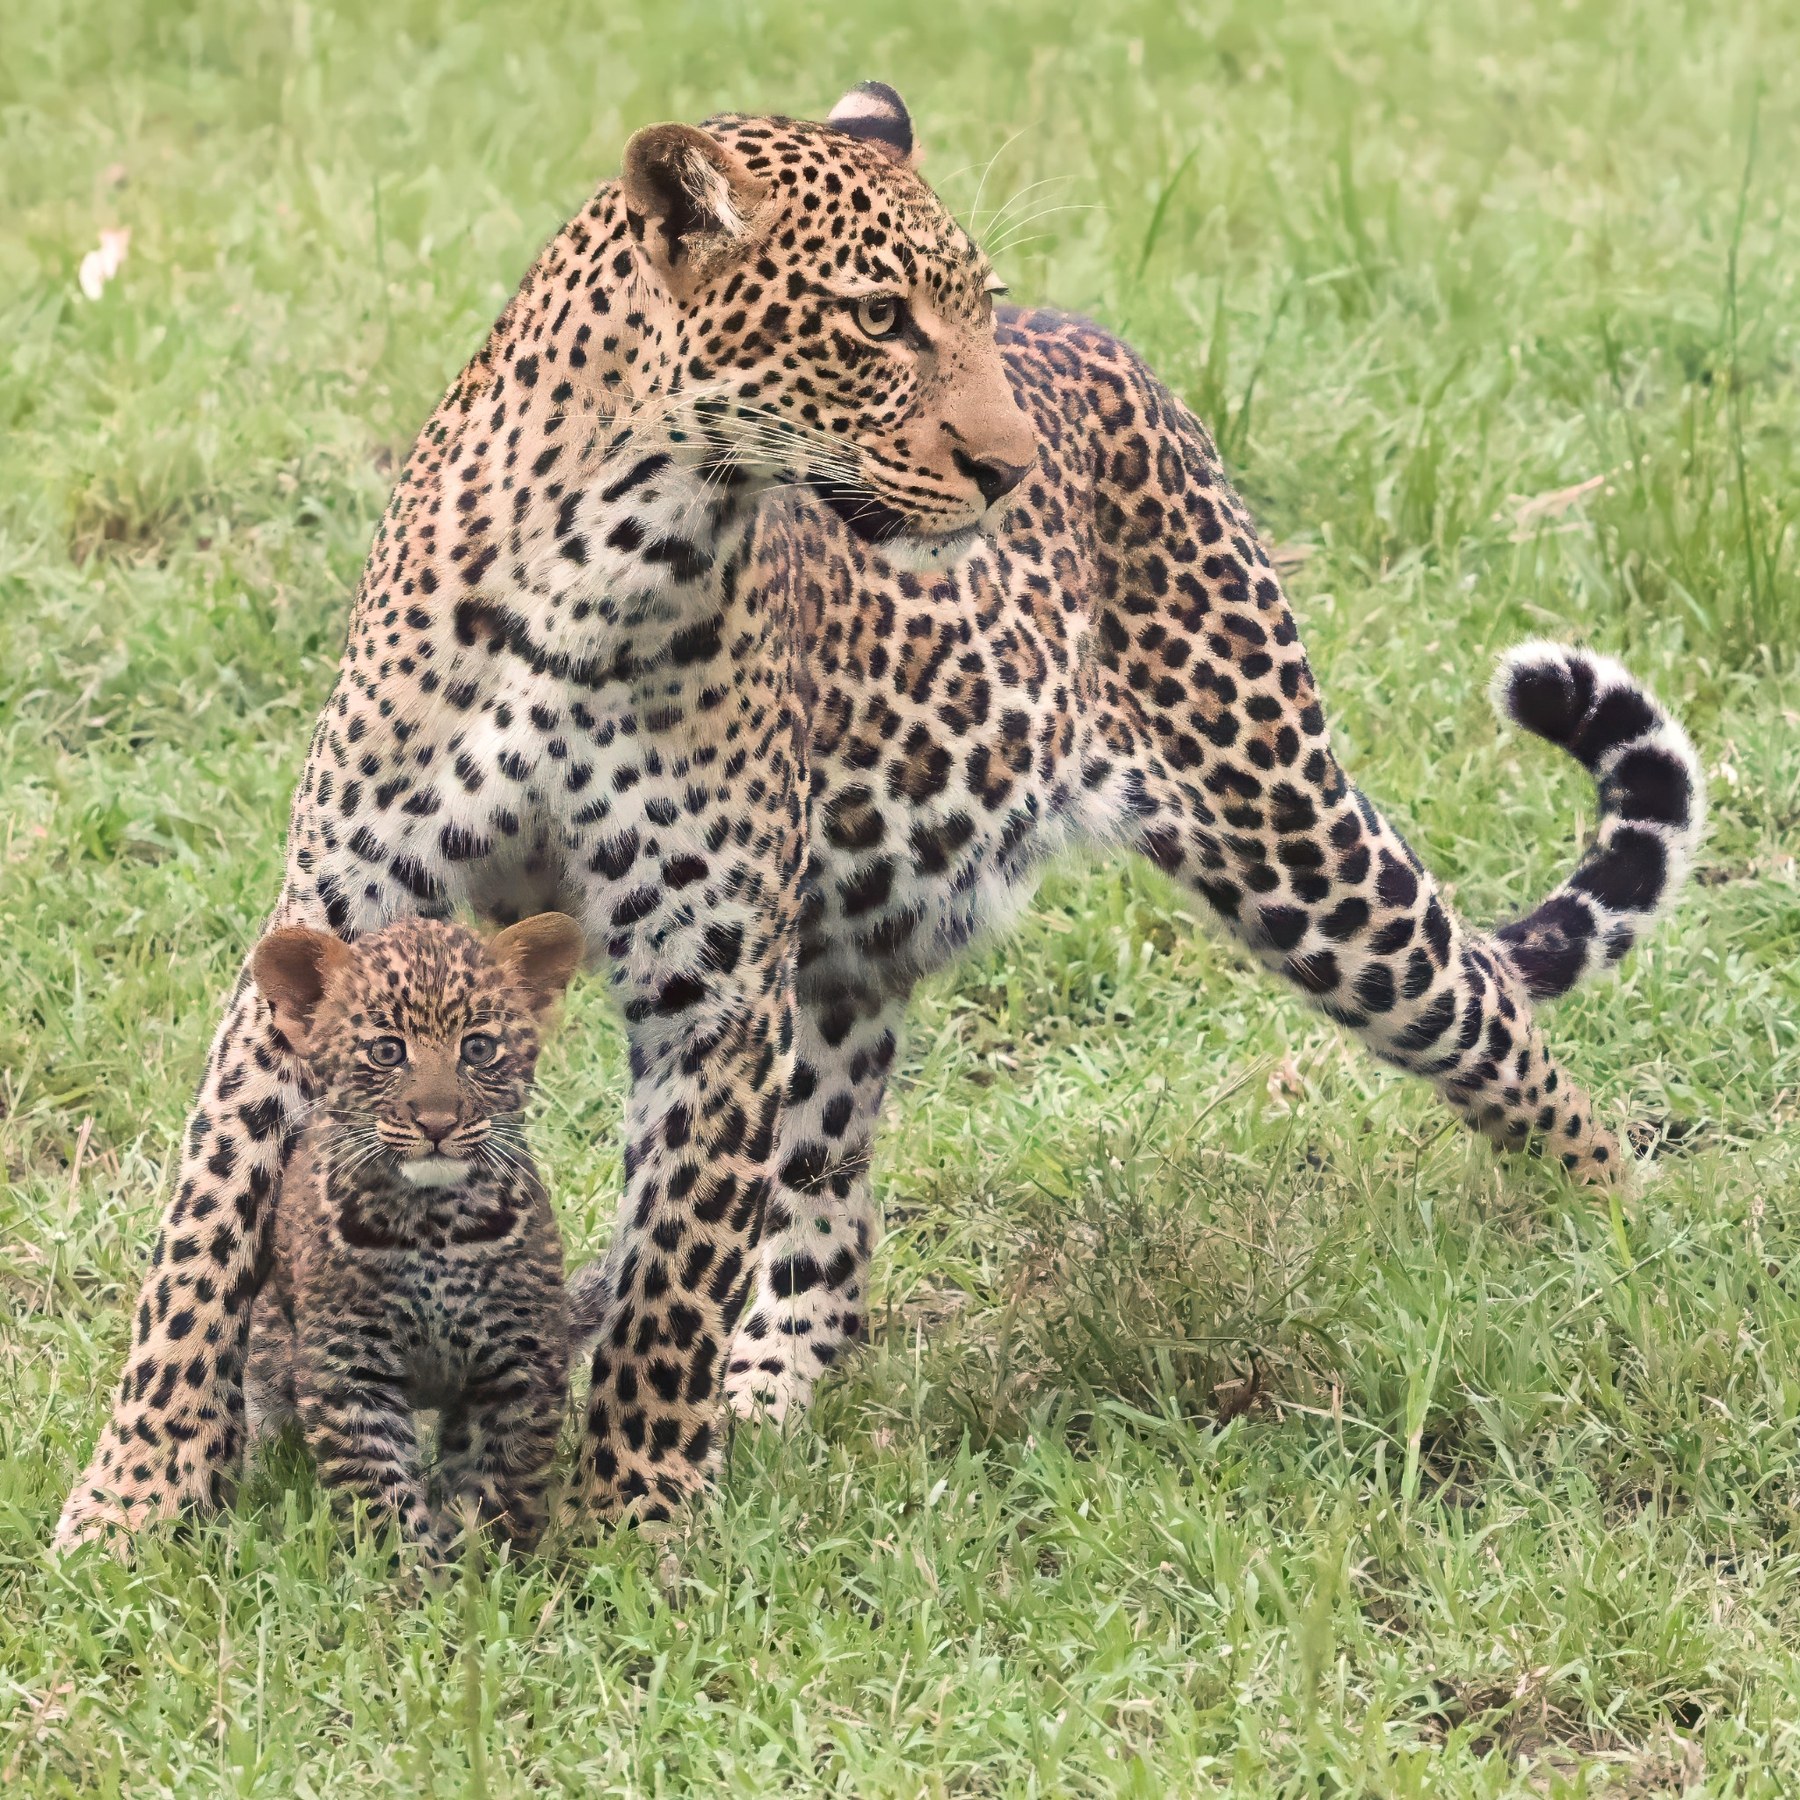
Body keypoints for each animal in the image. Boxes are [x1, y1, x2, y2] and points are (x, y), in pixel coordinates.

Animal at [242, 912, 586, 1557]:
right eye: (386, 1051)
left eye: (478, 1048)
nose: (437, 1123)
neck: (434, 1228)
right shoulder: (347, 1368)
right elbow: (381, 1494)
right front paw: (409, 1573)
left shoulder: (519, 1360)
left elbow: (496, 1481)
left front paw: (486, 1566)